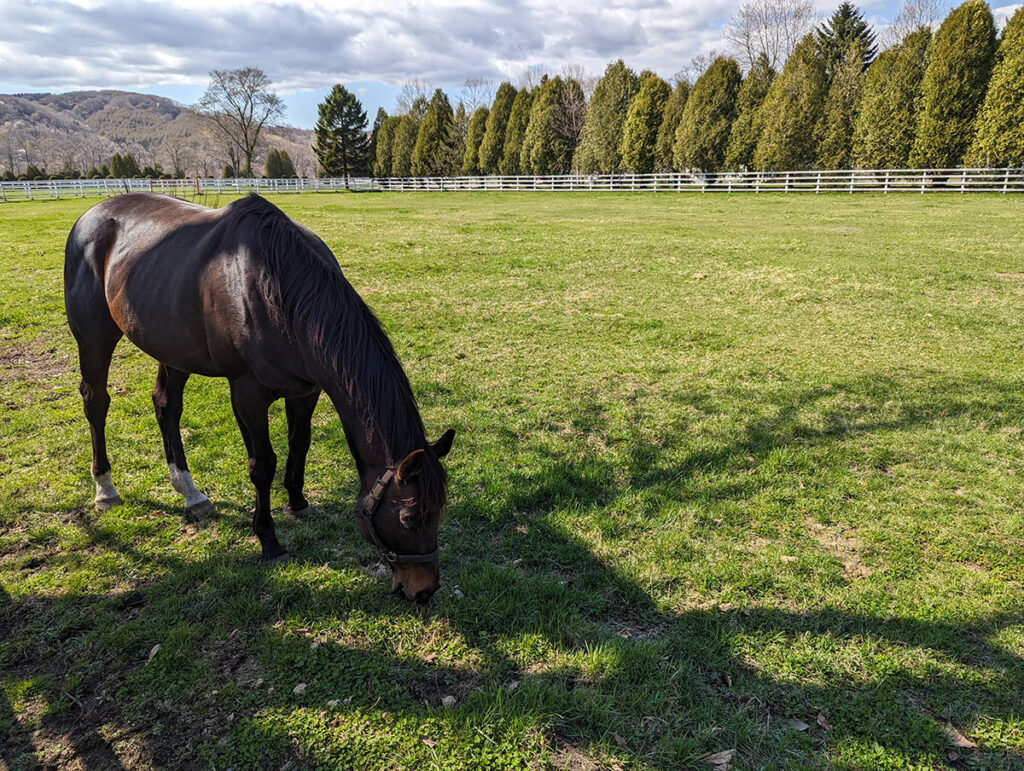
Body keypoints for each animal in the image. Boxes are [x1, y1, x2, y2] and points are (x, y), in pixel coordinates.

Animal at [60, 192, 452, 602]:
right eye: (410, 517)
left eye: (440, 509)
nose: (423, 590)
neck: (277, 291)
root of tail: (92, 215)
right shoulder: (247, 393)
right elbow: (262, 465)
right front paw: (269, 540)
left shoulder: (306, 390)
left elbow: (300, 445)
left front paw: (298, 502)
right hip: (94, 340)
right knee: (96, 403)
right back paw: (105, 488)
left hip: (173, 349)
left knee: (166, 406)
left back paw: (191, 494)